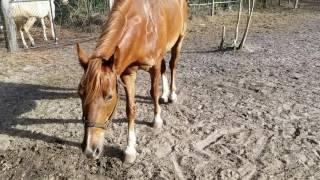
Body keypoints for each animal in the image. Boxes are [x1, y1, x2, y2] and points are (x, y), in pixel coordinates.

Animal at [76, 0, 189, 162]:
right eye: (80, 93)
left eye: (109, 96)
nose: (90, 150)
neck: (142, 25)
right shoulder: (128, 73)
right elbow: (130, 108)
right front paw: (130, 149)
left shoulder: (153, 66)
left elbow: (153, 93)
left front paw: (157, 120)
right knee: (164, 67)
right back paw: (165, 95)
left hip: (179, 38)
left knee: (173, 64)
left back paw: (172, 95)